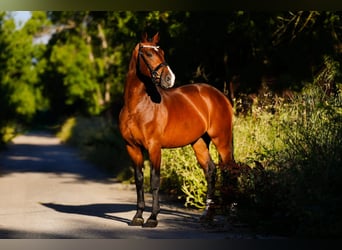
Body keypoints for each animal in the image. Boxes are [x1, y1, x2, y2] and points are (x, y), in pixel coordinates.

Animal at [119, 32, 234, 228]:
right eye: (148, 54)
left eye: (162, 52)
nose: (169, 78)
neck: (137, 107)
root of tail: (219, 96)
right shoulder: (132, 148)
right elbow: (139, 180)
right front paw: (138, 216)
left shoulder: (154, 148)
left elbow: (155, 181)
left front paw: (152, 218)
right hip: (199, 142)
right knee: (210, 171)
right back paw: (206, 216)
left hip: (222, 140)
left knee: (230, 170)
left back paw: (232, 211)